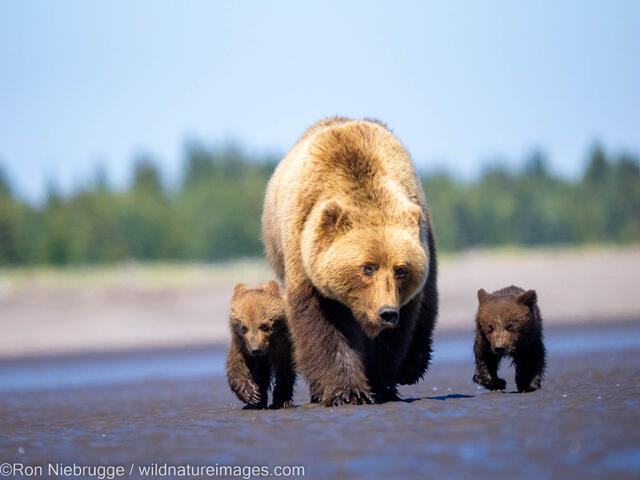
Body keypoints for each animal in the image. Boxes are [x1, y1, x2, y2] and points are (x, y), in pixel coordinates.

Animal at [225, 281, 296, 409]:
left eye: (264, 326)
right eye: (244, 327)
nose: (255, 349)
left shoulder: (282, 344)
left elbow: (285, 368)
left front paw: (282, 401)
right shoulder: (241, 344)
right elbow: (235, 366)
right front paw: (251, 394)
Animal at [261, 117, 438, 407]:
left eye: (400, 270)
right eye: (367, 267)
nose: (387, 312)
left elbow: (395, 336)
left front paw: (379, 384)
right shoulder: (305, 254)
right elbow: (324, 327)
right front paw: (346, 391)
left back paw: (412, 367)